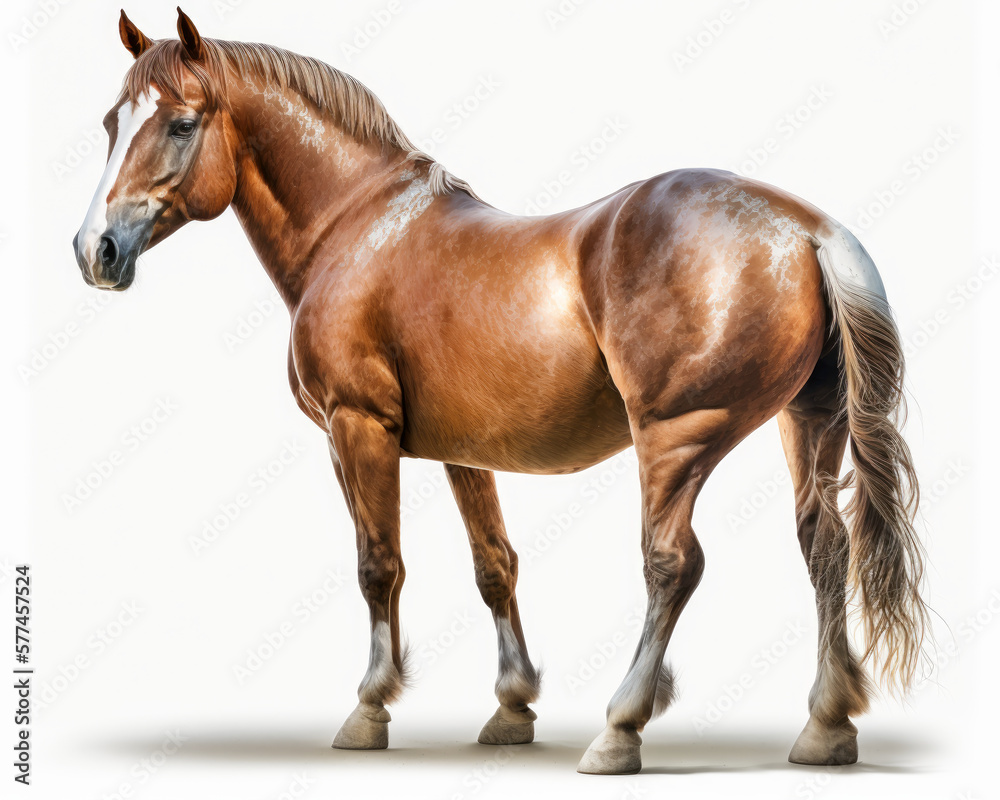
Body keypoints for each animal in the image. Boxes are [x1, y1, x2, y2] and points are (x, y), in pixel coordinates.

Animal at [72, 9, 928, 774]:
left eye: (181, 124)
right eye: (114, 121)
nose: (95, 250)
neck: (356, 228)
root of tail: (806, 228)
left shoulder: (358, 430)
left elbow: (378, 563)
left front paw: (370, 707)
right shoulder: (465, 452)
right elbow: (495, 566)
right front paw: (512, 707)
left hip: (678, 435)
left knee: (672, 564)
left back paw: (621, 728)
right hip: (807, 422)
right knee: (824, 547)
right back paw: (825, 726)